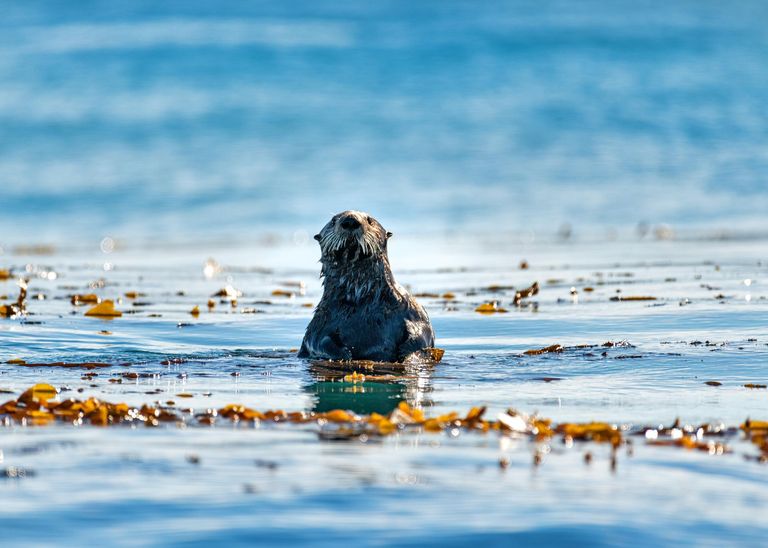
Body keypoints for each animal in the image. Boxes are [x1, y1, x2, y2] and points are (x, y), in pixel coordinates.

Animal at [298, 210, 435, 362]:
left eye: (370, 220)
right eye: (333, 221)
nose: (350, 221)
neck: (361, 295)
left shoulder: (411, 309)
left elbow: (424, 331)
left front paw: (406, 351)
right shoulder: (320, 322)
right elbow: (316, 342)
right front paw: (345, 354)